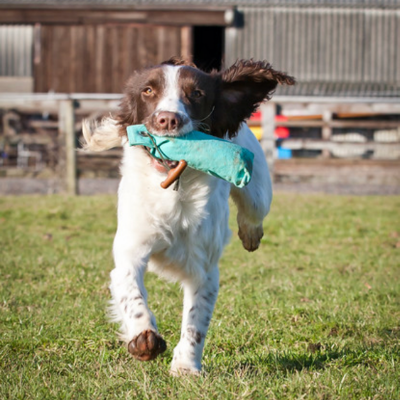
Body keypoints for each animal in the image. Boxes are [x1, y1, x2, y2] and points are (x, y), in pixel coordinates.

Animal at [82, 57, 294, 376]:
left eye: (196, 93)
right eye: (147, 90)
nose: (167, 120)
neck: (173, 189)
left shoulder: (204, 269)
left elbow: (196, 321)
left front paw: (186, 366)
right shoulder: (131, 250)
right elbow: (131, 292)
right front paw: (144, 337)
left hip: (258, 191)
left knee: (253, 211)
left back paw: (250, 235)